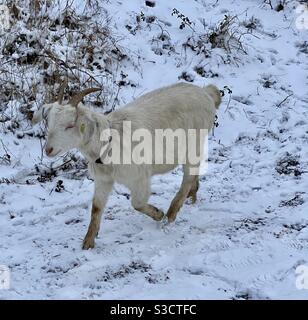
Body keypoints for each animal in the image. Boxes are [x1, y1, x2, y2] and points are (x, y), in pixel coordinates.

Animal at [32, 81, 221, 249]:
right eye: (48, 122)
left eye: (70, 125)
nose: (48, 149)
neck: (107, 143)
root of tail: (206, 93)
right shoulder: (103, 180)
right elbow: (96, 208)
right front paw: (88, 242)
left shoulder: (139, 177)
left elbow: (137, 203)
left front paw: (158, 214)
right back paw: (193, 194)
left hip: (194, 145)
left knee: (187, 178)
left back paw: (171, 214)